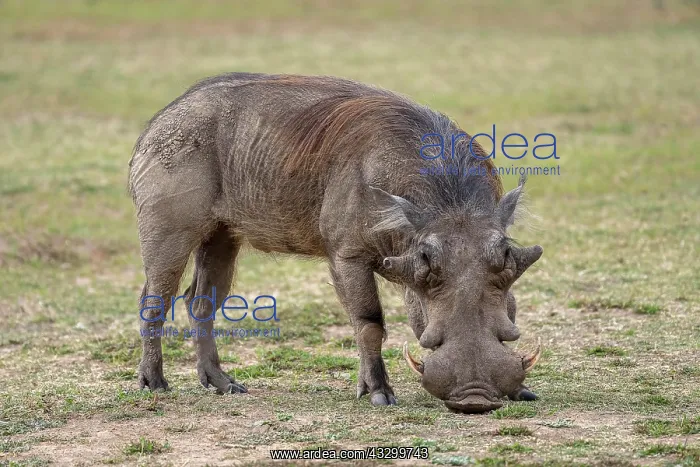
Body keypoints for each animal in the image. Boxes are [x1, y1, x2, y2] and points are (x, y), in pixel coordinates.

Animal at [128, 73, 542, 413]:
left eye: (507, 259)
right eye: (428, 260)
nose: (475, 397)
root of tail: (156, 124)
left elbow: (412, 319)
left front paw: (523, 391)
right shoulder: (348, 255)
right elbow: (369, 322)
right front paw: (379, 393)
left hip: (221, 237)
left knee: (199, 303)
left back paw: (223, 384)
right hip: (168, 232)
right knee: (155, 300)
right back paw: (154, 384)